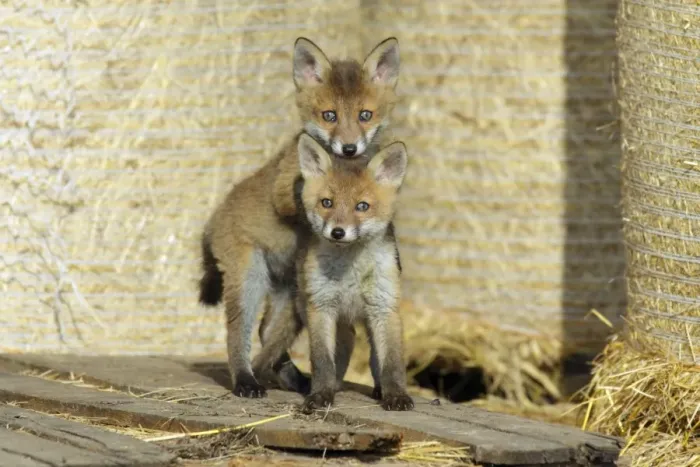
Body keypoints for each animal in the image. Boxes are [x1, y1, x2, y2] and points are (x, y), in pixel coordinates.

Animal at [198, 36, 401, 398]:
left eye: (365, 115)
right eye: (329, 115)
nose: (349, 148)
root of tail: (210, 225)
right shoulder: (286, 190)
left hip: (287, 293)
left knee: (268, 332)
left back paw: (293, 378)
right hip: (250, 279)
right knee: (238, 333)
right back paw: (247, 380)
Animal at [255, 134, 414, 413]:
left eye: (362, 206)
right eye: (327, 203)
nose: (338, 232)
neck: (350, 273)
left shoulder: (384, 307)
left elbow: (392, 362)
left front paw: (396, 395)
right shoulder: (321, 307)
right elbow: (322, 362)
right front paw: (321, 394)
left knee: (371, 354)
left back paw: (378, 388)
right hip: (311, 308)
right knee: (346, 342)